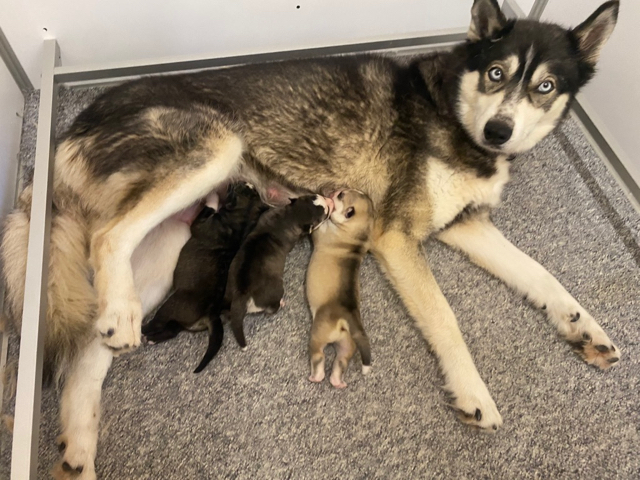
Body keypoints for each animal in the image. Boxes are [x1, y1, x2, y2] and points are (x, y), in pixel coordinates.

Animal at [142, 182, 268, 374]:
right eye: (248, 188)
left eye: (237, 188)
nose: (236, 181)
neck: (242, 219)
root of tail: (210, 313)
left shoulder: (200, 224)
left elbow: (209, 207)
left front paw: (211, 195)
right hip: (180, 321)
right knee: (172, 331)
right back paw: (152, 340)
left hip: (170, 307)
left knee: (157, 324)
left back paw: (143, 331)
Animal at [226, 195, 336, 348]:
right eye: (324, 213)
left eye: (314, 196)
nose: (329, 200)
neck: (290, 215)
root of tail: (242, 293)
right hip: (274, 292)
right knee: (271, 308)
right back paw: (281, 303)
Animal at [306, 189, 376, 388]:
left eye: (341, 197)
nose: (338, 191)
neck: (356, 236)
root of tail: (348, 316)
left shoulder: (320, 230)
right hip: (347, 344)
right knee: (341, 362)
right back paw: (337, 382)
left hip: (318, 335)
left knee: (318, 356)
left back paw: (316, 376)